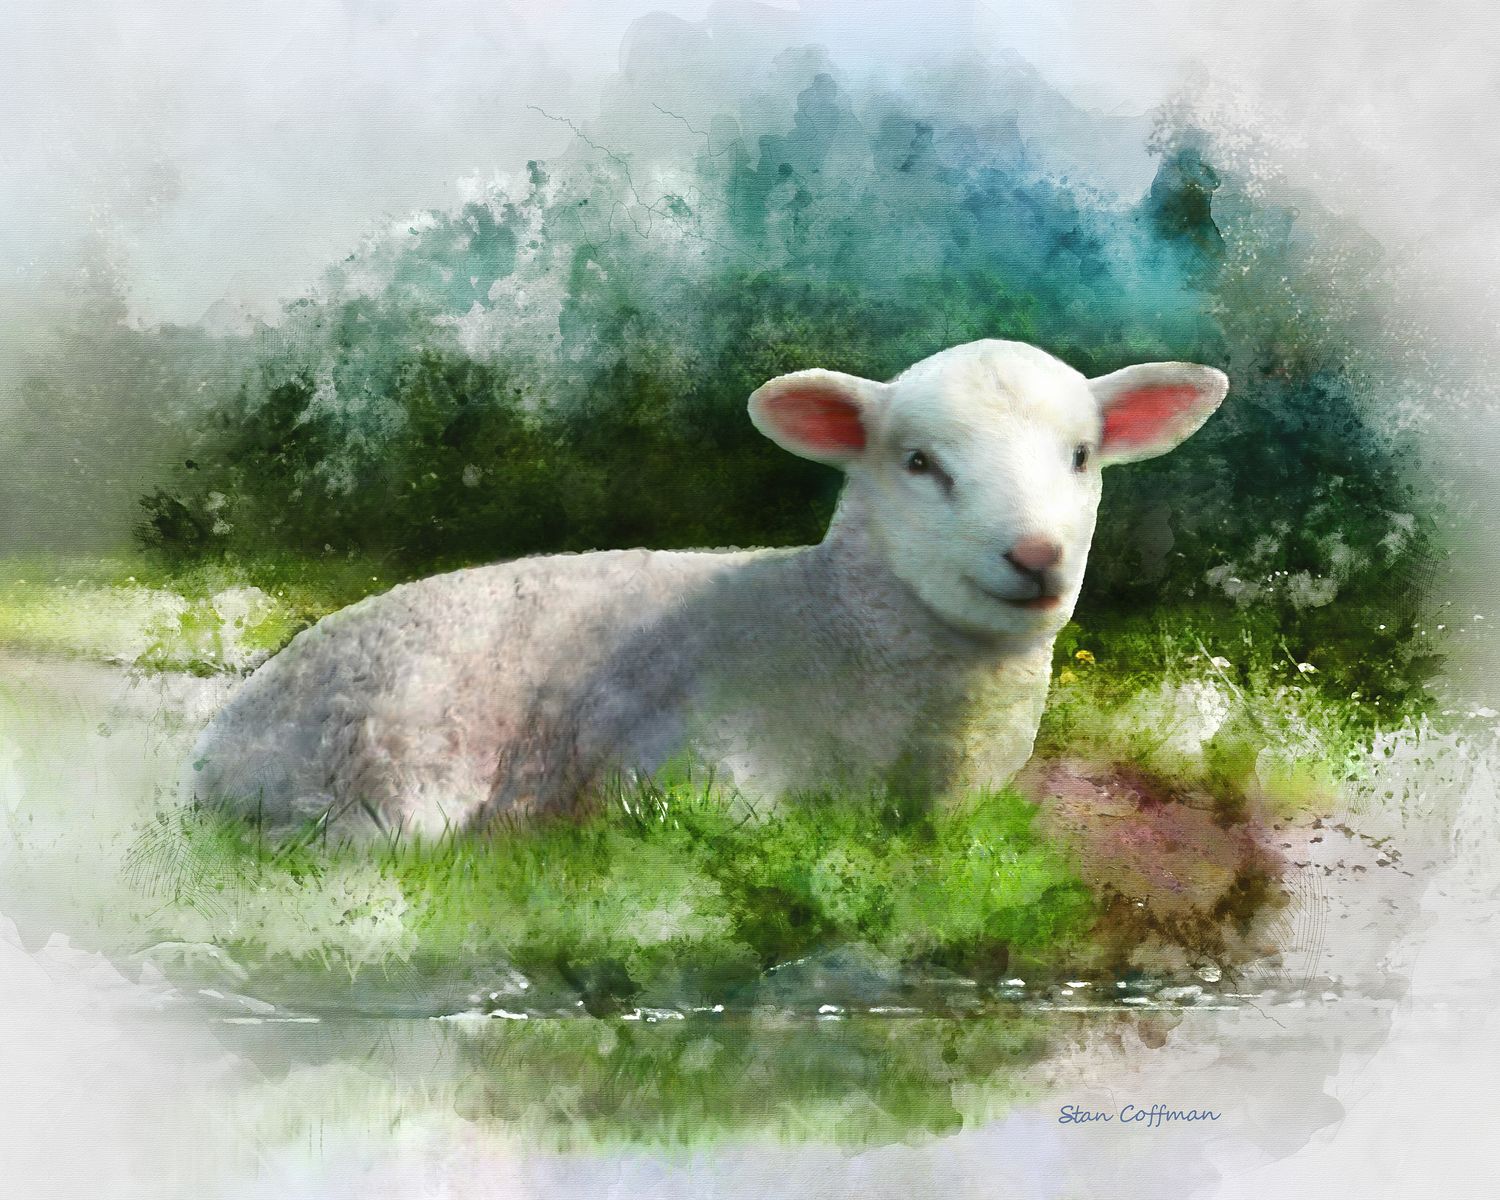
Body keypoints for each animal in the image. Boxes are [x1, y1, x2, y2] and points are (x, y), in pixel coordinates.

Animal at [186, 339, 1227, 838]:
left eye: (1082, 456)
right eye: (920, 463)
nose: (1037, 555)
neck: (832, 625)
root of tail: (215, 747)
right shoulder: (685, 765)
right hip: (389, 766)